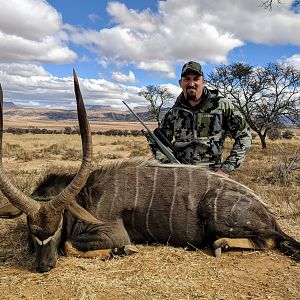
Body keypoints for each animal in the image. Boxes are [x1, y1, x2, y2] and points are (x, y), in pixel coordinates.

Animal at [0, 74, 300, 274]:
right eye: (31, 227)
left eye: (60, 221)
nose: (43, 266)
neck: (87, 195)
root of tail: (268, 214)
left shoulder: (113, 233)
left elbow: (70, 246)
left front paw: (121, 251)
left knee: (269, 241)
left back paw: (221, 244)